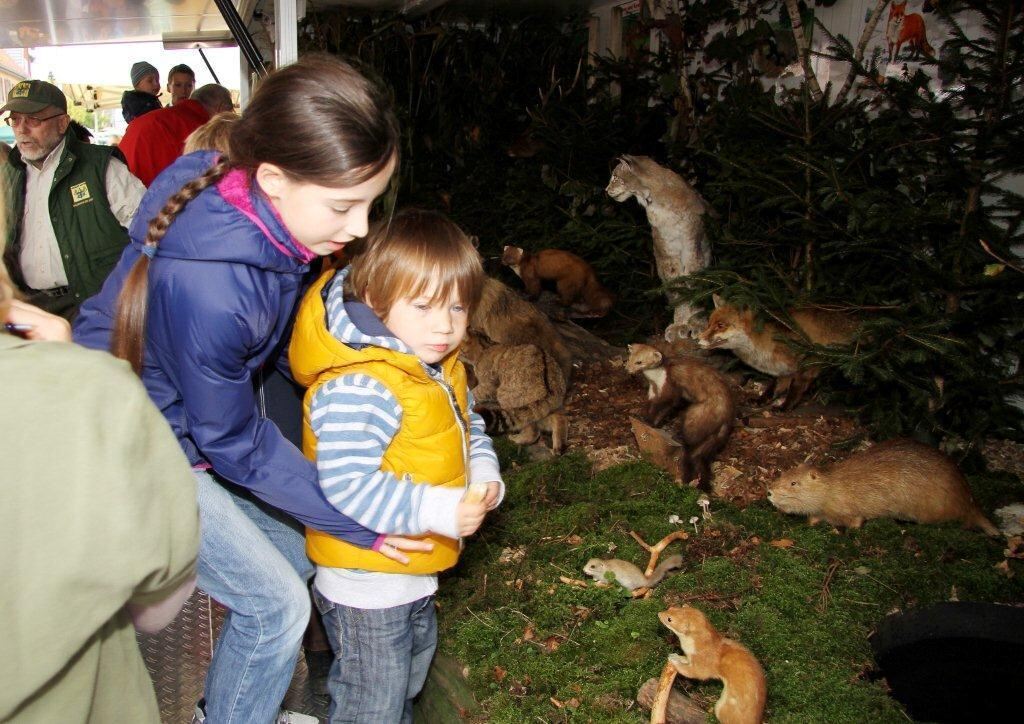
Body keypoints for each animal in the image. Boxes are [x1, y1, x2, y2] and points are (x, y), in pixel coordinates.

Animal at [602, 154, 708, 342]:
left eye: (615, 177)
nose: (606, 190)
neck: (655, 200)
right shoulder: (667, 252)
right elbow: (677, 287)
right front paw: (680, 324)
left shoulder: (691, 248)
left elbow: (693, 285)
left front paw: (696, 324)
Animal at [622, 344, 737, 489]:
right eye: (629, 358)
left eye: (639, 361)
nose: (627, 369)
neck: (655, 380)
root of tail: (727, 417)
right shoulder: (653, 391)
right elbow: (650, 405)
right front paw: (639, 414)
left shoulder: (669, 389)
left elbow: (664, 406)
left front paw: (649, 421)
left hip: (696, 414)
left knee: (690, 438)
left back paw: (678, 436)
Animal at [696, 292, 856, 407]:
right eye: (709, 324)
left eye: (720, 325)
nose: (697, 338)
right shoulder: (783, 369)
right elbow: (773, 388)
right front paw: (761, 401)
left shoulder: (809, 361)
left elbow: (795, 388)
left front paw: (785, 407)